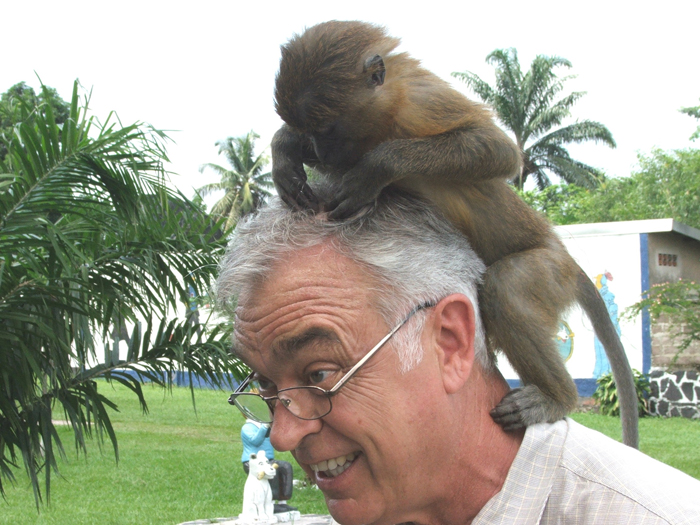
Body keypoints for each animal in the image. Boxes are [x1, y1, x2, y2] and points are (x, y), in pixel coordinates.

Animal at [270, 21, 639, 448]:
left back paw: (555, 397)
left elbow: (499, 151)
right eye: (309, 130)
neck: (385, 115)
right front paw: (285, 152)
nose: (316, 149)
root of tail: (568, 261)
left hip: (549, 271)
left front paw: (375, 170)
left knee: (508, 287)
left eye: (326, 129)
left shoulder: (422, 101)